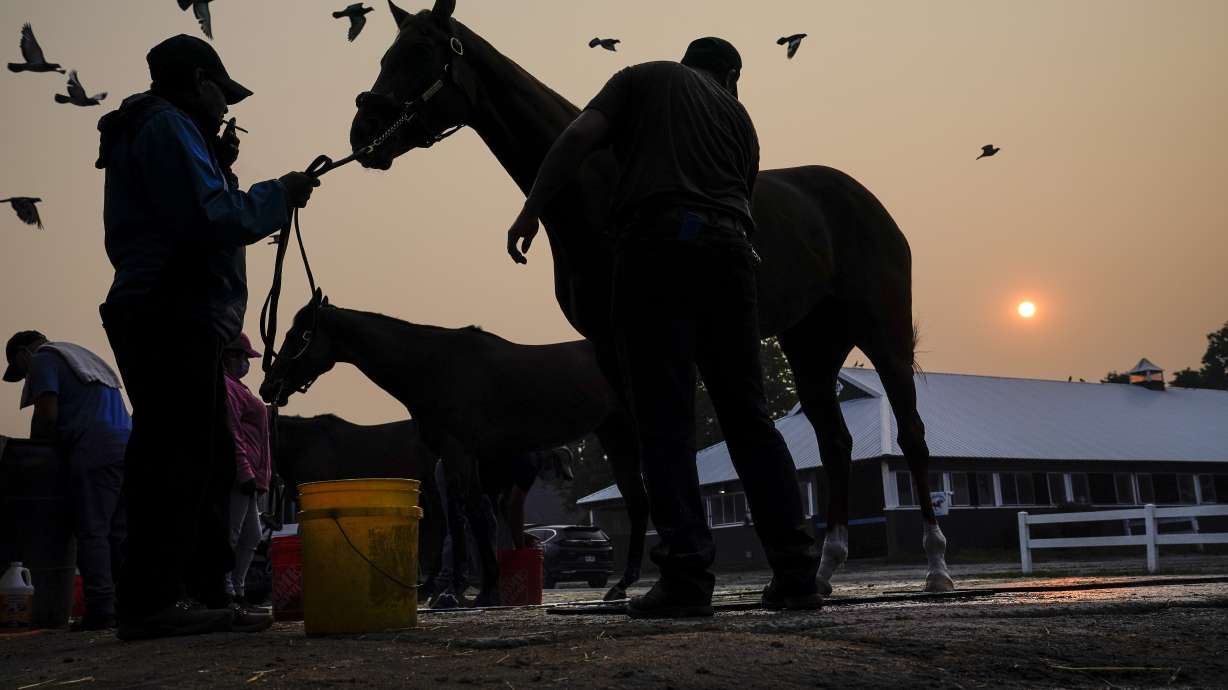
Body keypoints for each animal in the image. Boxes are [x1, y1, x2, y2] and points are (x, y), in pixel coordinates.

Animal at [259, 291, 643, 604]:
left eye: (298, 336)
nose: (268, 387)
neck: (434, 365)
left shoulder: (458, 452)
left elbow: (470, 513)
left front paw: (483, 588)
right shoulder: (460, 457)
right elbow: (470, 514)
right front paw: (481, 586)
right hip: (616, 433)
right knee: (636, 497)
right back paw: (622, 584)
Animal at [347, 0, 954, 593]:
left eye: (421, 51)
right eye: (386, 54)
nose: (363, 132)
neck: (595, 185)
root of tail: (867, 201)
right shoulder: (610, 342)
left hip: (883, 333)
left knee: (913, 437)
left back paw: (935, 566)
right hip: (810, 347)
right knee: (835, 444)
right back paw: (825, 569)